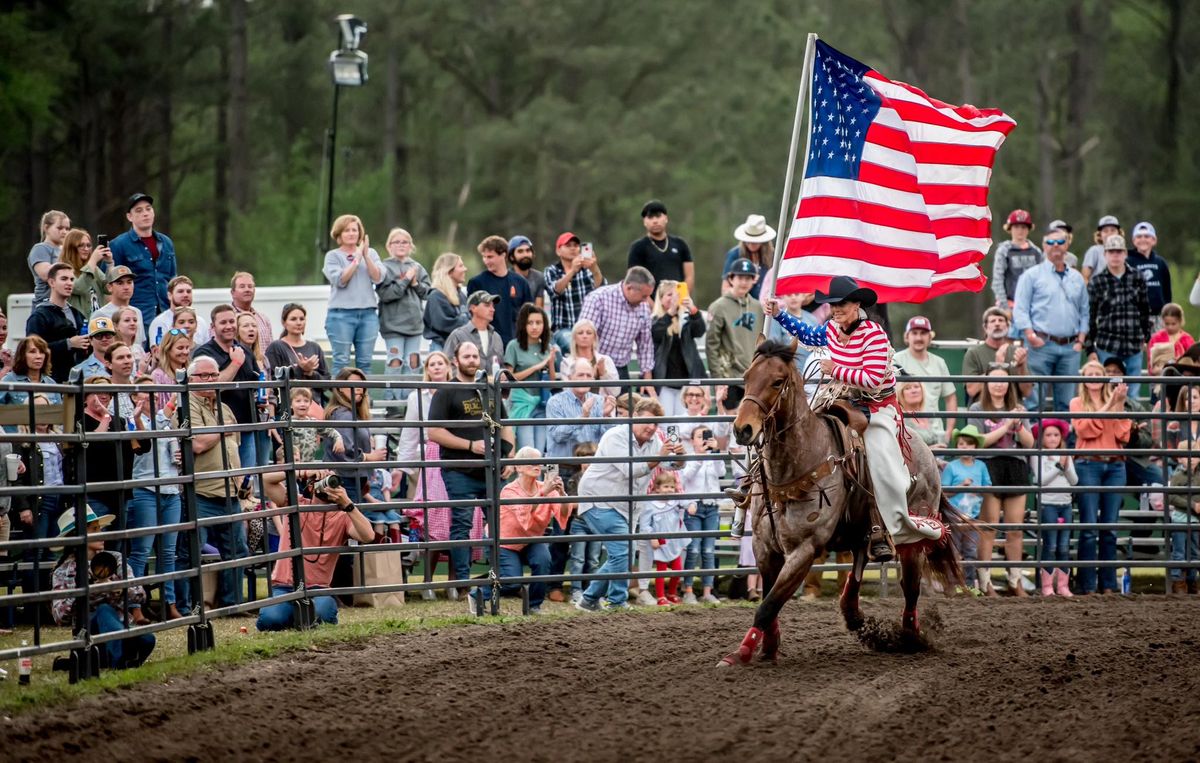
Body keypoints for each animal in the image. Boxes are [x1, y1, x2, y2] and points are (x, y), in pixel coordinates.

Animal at [710, 335, 964, 667]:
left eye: (777, 381)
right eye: (747, 377)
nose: (742, 429)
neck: (798, 463)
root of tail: (926, 451)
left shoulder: (805, 550)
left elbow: (768, 604)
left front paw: (739, 653)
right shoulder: (764, 548)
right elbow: (769, 599)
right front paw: (768, 647)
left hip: (914, 537)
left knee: (910, 587)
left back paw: (909, 637)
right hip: (860, 534)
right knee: (857, 572)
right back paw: (857, 617)